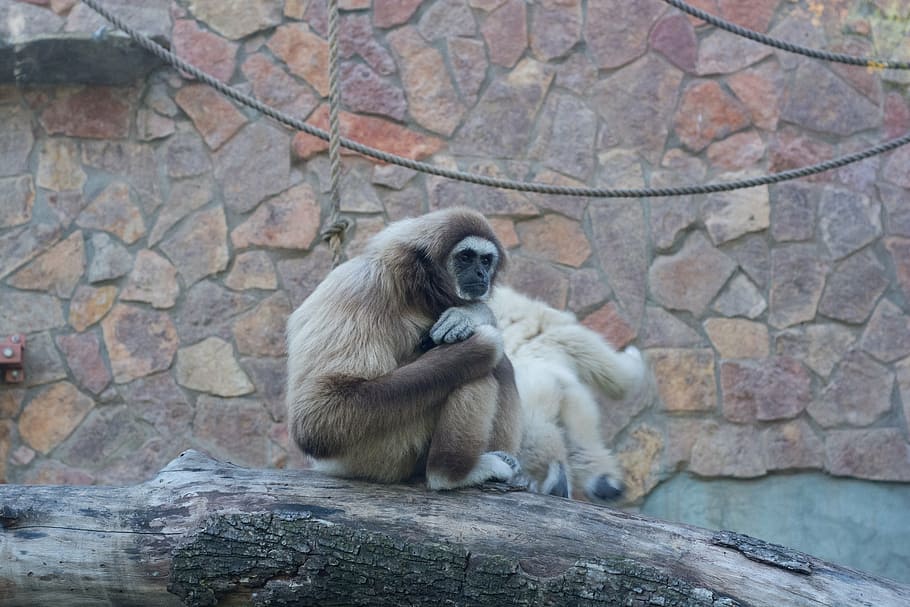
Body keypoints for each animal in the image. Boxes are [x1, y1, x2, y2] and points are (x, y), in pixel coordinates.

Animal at [286, 207, 523, 490]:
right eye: (466, 257)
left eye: (486, 261)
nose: (481, 274)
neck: (411, 285)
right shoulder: (362, 287)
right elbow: (318, 418)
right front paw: (480, 341)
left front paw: (470, 314)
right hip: (378, 451)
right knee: (479, 369)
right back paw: (451, 473)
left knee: (501, 366)